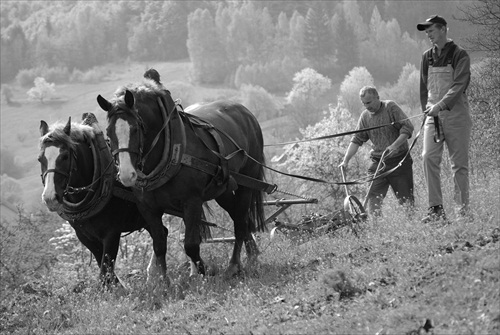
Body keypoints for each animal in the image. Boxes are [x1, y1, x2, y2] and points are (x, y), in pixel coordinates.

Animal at [38, 117, 149, 290]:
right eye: (40, 159)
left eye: (65, 156)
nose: (50, 197)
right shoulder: (86, 237)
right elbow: (106, 272)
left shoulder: (111, 234)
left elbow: (105, 273)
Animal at [96, 78, 268, 280]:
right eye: (108, 133)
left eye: (135, 129)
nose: (126, 174)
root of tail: (246, 113)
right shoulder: (148, 207)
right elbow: (159, 244)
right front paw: (163, 281)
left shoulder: (192, 201)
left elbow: (191, 245)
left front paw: (203, 273)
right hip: (223, 190)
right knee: (240, 218)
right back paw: (251, 256)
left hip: (247, 183)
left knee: (240, 222)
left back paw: (234, 265)